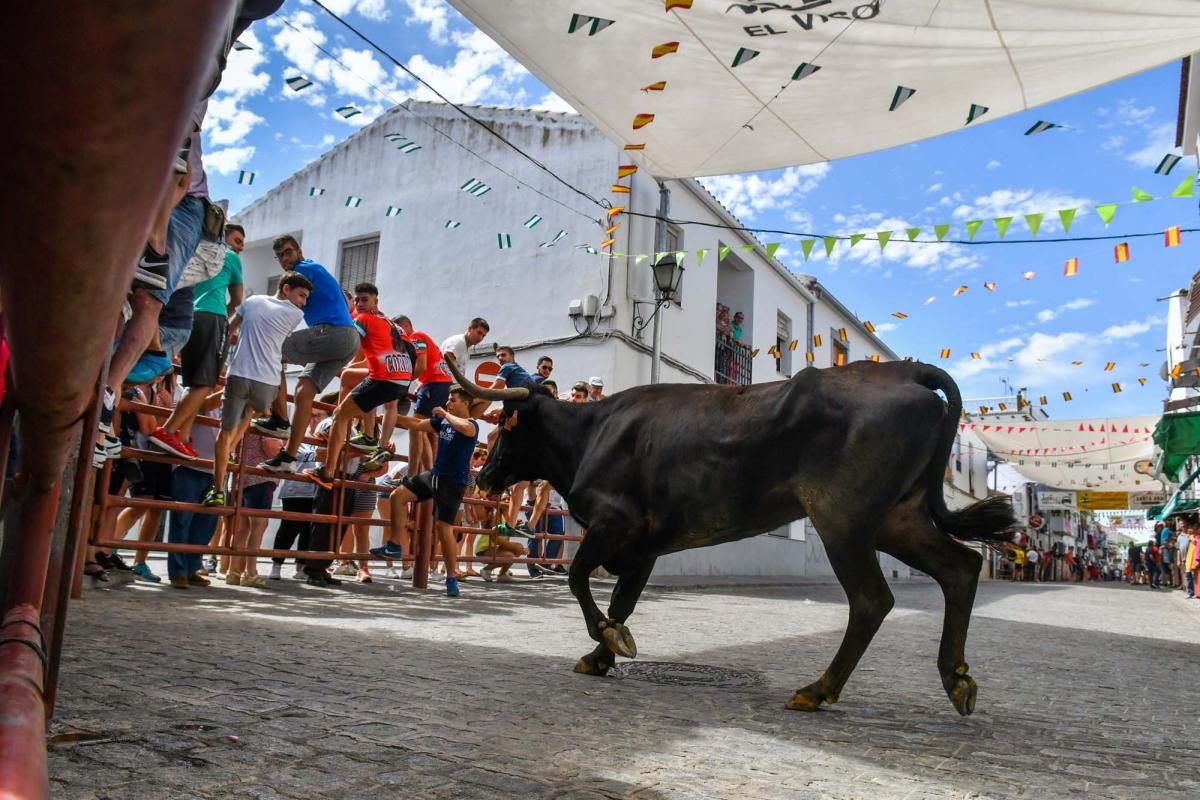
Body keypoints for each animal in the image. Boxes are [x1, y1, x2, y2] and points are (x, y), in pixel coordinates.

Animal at [448, 359, 1012, 714]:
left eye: (504, 423)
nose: (484, 476)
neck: (592, 435)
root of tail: (905, 369)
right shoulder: (645, 546)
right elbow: (624, 599)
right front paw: (604, 652)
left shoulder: (615, 524)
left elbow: (580, 579)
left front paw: (608, 638)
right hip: (898, 517)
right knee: (960, 569)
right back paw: (956, 679)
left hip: (843, 518)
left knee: (873, 600)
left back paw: (817, 690)